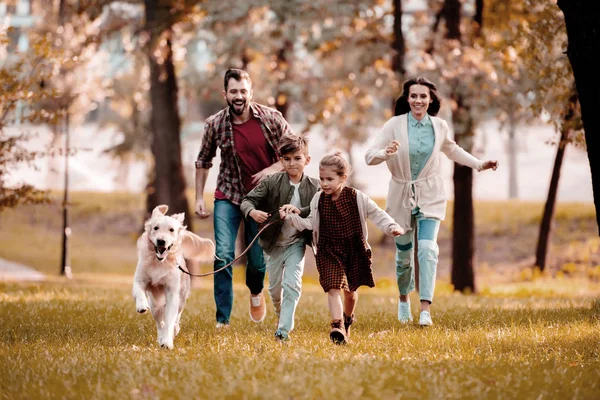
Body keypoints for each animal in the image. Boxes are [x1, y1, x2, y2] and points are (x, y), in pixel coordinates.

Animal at [134, 205, 216, 348]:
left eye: (171, 230)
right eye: (156, 228)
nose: (161, 241)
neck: (160, 262)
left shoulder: (172, 292)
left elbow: (170, 319)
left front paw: (167, 341)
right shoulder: (140, 279)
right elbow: (139, 290)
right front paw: (141, 306)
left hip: (182, 297)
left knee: (176, 316)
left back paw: (174, 330)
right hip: (155, 304)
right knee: (159, 322)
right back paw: (160, 336)